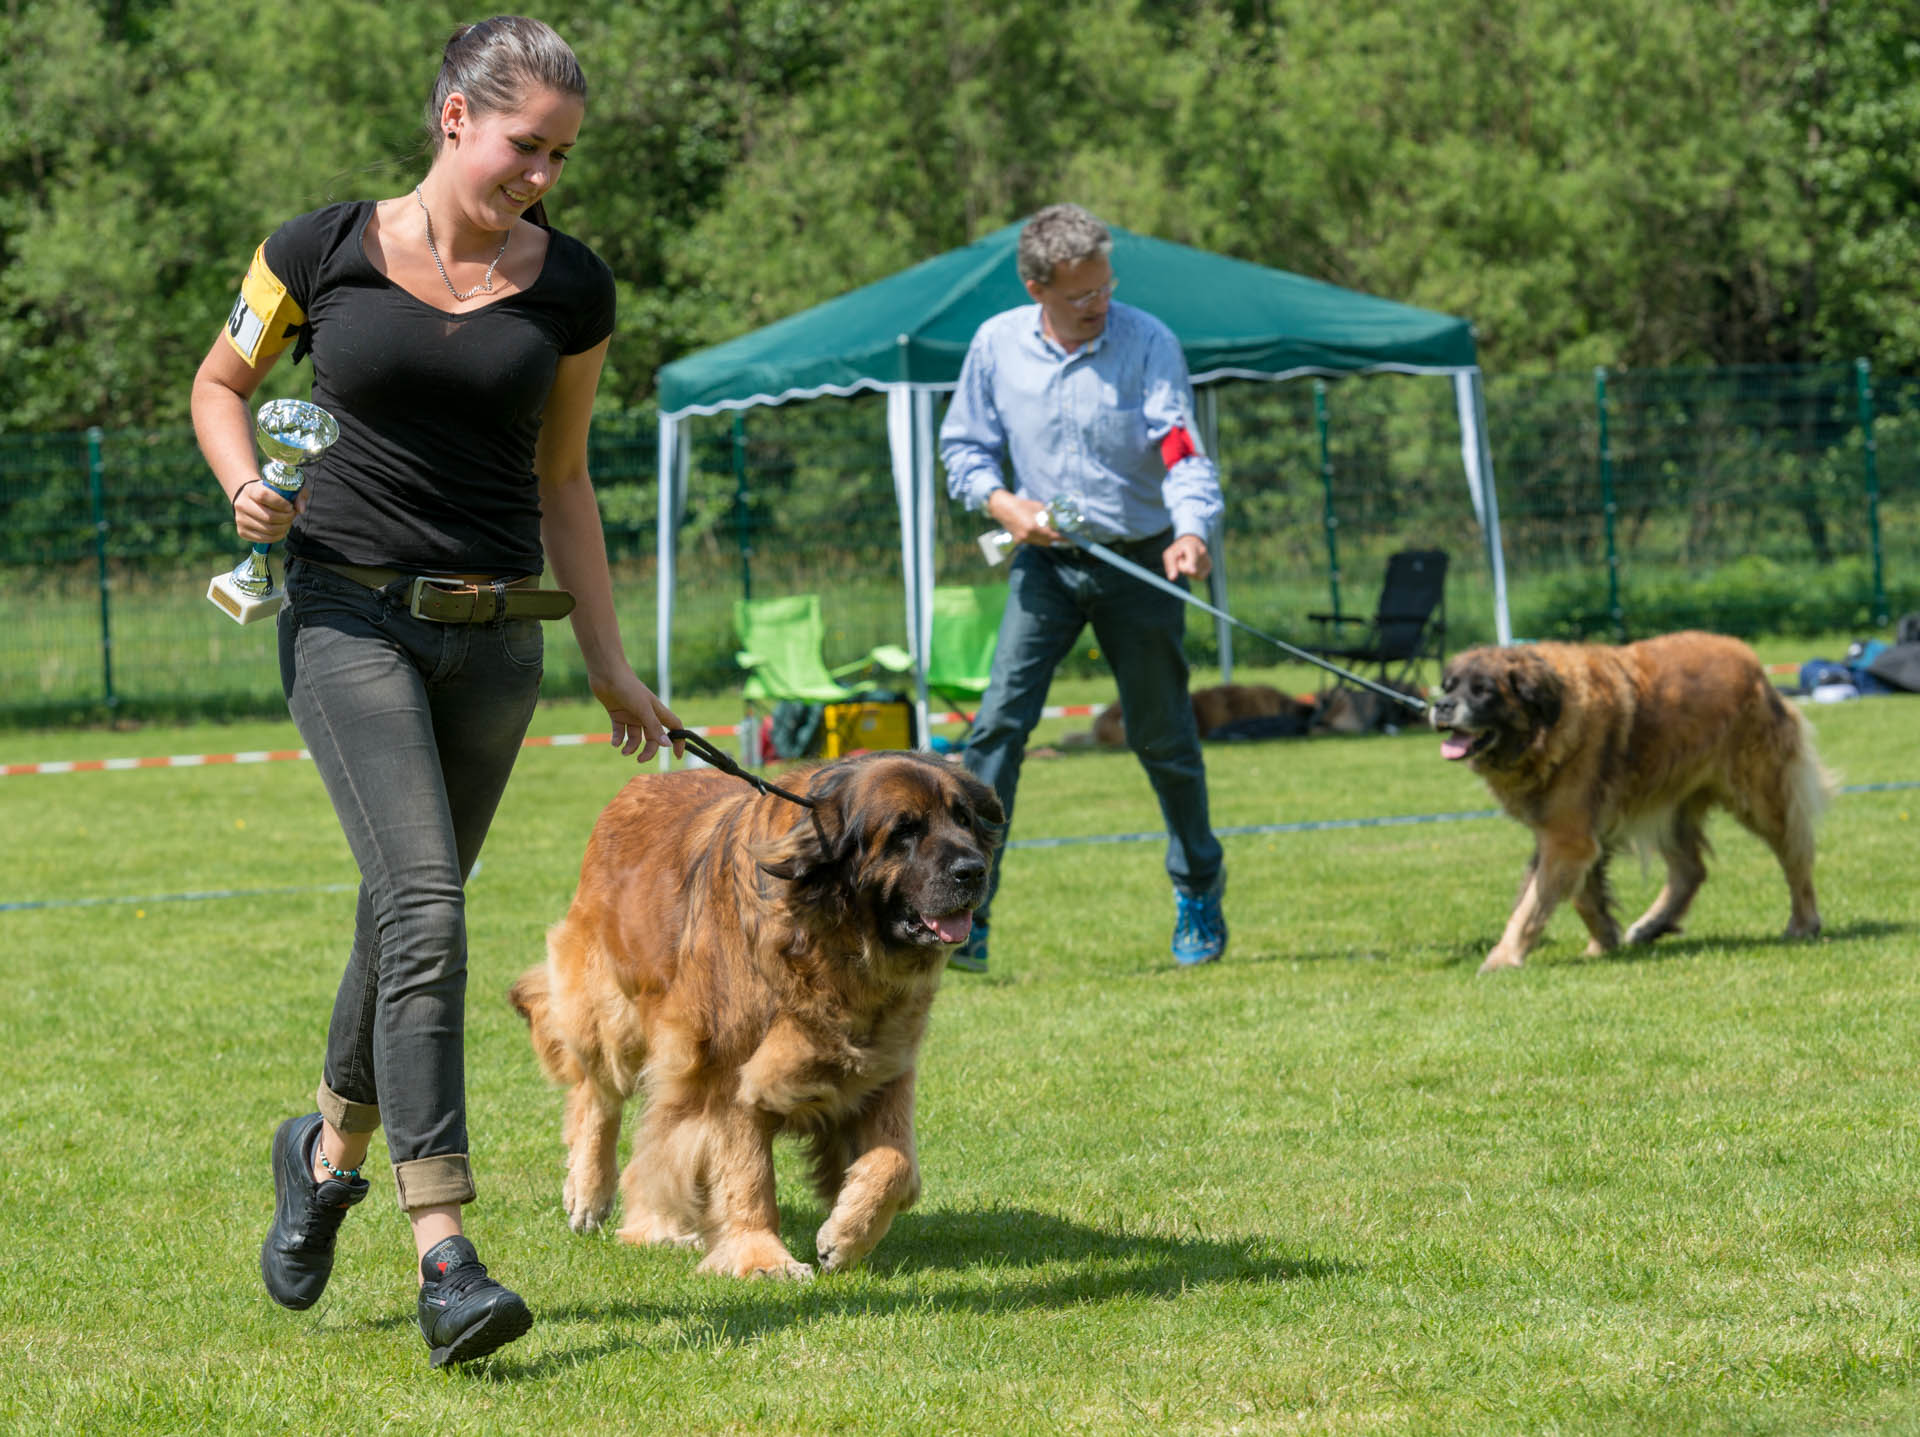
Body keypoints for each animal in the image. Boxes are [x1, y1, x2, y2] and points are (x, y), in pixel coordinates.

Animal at [508, 751, 1003, 1278]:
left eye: (963, 820)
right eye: (904, 831)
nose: (973, 871)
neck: (832, 940)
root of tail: (635, 786)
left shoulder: (882, 1062)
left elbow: (899, 1165)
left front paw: (846, 1236)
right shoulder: (725, 1066)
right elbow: (744, 1168)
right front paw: (760, 1256)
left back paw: (658, 1225)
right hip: (613, 1008)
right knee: (598, 1092)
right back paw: (591, 1192)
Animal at [1428, 632, 1832, 974]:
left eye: (1483, 691)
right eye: (1448, 686)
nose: (1441, 705)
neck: (1548, 723)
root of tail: (1754, 665)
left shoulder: (1568, 836)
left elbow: (1532, 904)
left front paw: (1504, 956)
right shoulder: (1566, 833)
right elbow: (1580, 894)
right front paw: (1603, 940)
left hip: (1760, 797)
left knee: (1795, 854)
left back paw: (1803, 922)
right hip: (1669, 803)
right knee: (1691, 870)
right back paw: (1652, 925)